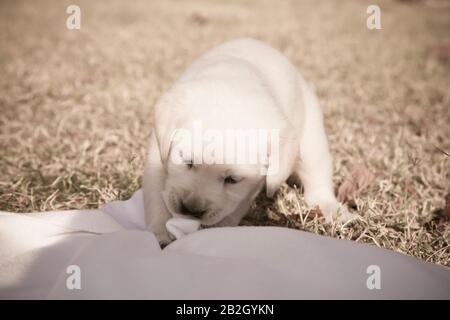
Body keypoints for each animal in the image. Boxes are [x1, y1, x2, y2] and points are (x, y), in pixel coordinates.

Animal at [142, 38, 354, 242]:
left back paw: (331, 208)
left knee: (317, 174)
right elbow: (156, 191)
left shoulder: (250, 188)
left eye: (232, 180)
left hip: (311, 136)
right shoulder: (158, 151)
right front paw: (160, 231)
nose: (191, 209)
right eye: (188, 162)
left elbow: (232, 210)